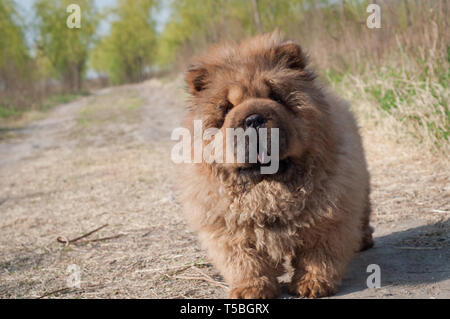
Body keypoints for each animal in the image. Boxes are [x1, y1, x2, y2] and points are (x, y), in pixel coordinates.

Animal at [178, 33, 372, 300]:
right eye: (227, 108)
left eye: (275, 97)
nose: (253, 119)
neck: (269, 189)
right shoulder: (229, 230)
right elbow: (245, 262)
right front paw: (251, 289)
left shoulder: (329, 217)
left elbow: (318, 255)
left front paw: (312, 284)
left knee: (363, 214)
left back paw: (364, 241)